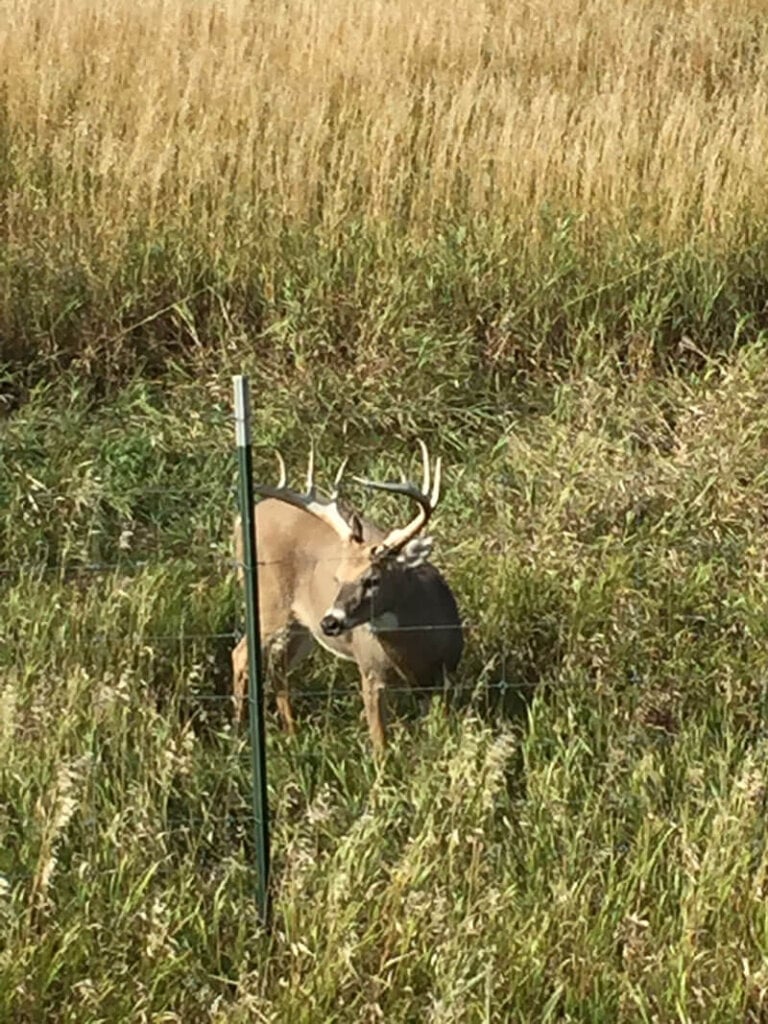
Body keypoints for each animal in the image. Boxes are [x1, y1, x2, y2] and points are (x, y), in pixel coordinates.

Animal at [231, 440, 462, 754]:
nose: (330, 621)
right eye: (337, 577)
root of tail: (242, 520)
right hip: (268, 603)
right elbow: (380, 742)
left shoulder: (444, 674)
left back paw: (292, 733)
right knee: (241, 654)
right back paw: (237, 733)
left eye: (372, 579)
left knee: (278, 665)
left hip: (302, 626)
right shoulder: (370, 668)